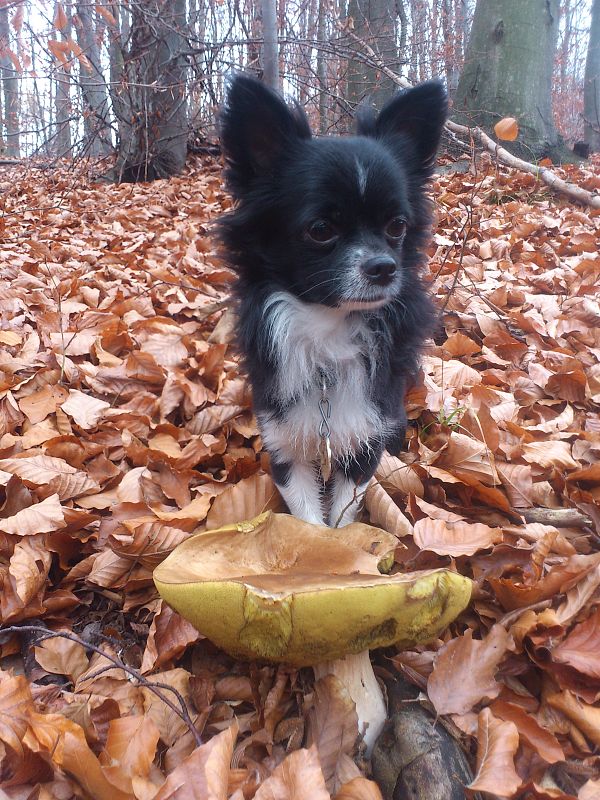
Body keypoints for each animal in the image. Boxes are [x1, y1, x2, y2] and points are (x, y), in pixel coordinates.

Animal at [218, 73, 448, 524]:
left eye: (397, 226)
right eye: (321, 229)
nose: (384, 267)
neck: (328, 330)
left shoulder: (364, 438)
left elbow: (342, 515)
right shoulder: (284, 443)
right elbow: (308, 521)